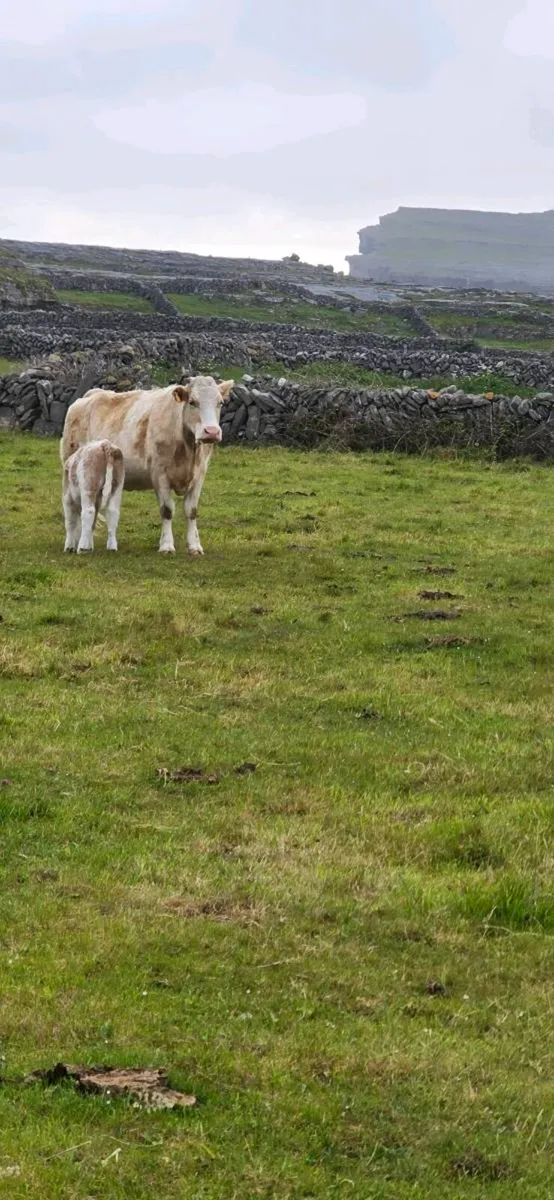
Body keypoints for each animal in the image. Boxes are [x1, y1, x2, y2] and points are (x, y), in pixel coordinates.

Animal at [60, 376, 234, 555]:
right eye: (192, 402)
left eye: (220, 403)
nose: (211, 431)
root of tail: (91, 395)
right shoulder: (160, 474)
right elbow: (167, 510)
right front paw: (166, 545)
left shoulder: (199, 474)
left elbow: (191, 511)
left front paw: (195, 546)